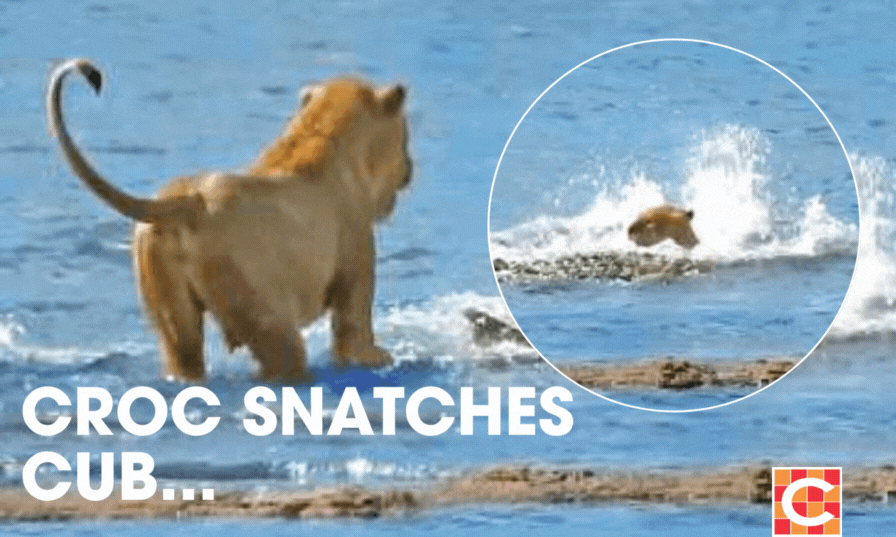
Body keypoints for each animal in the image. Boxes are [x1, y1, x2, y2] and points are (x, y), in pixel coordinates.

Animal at [47, 58, 412, 382]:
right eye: (406, 133)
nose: (410, 168)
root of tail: (187, 202)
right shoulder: (355, 267)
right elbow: (355, 337)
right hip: (262, 308)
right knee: (283, 357)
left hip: (170, 306)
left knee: (184, 355)